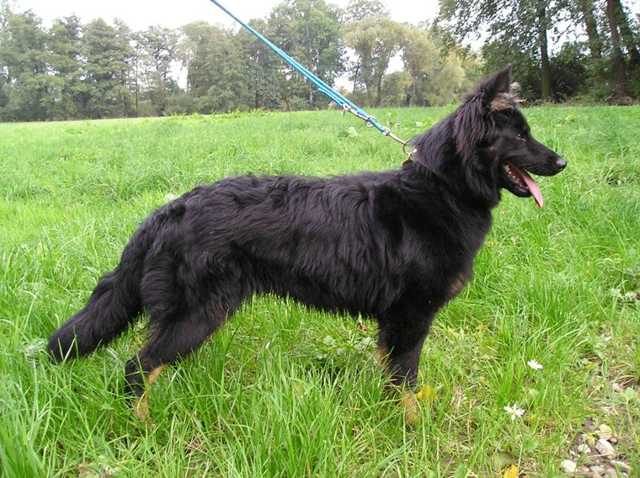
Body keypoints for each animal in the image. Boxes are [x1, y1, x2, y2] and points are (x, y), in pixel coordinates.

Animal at [48, 66, 566, 422]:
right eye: (520, 135)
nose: (562, 162)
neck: (442, 189)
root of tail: (168, 210)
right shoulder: (411, 317)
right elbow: (406, 382)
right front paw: (412, 428)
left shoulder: (394, 323)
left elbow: (390, 378)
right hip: (195, 316)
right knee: (137, 369)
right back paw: (143, 426)